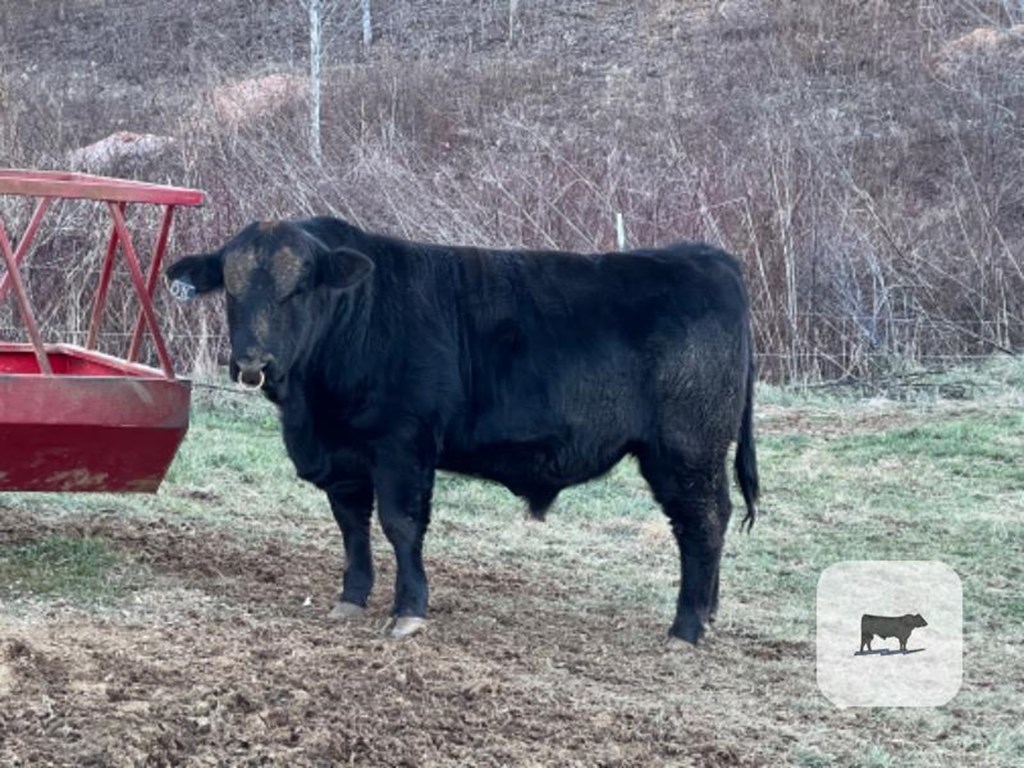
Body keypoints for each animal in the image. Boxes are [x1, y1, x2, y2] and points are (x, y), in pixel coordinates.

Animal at [167, 215, 761, 643]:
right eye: (232, 290)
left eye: (298, 289)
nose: (252, 361)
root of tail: (705, 257)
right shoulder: (344, 457)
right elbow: (352, 525)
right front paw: (352, 598)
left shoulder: (403, 443)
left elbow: (401, 524)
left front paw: (408, 611)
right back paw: (707, 614)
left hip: (686, 449)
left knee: (702, 523)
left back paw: (686, 627)